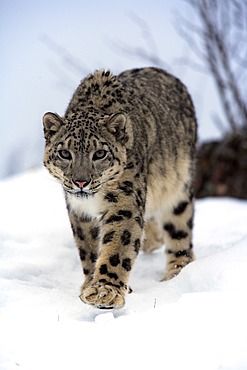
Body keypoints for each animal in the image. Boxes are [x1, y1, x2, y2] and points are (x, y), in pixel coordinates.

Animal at [42, 67, 197, 310]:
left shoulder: (124, 201)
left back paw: (175, 274)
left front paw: (106, 292)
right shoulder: (79, 211)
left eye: (100, 154)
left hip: (178, 190)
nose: (80, 182)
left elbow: (117, 246)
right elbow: (89, 248)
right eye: (65, 153)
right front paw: (90, 285)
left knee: (179, 233)